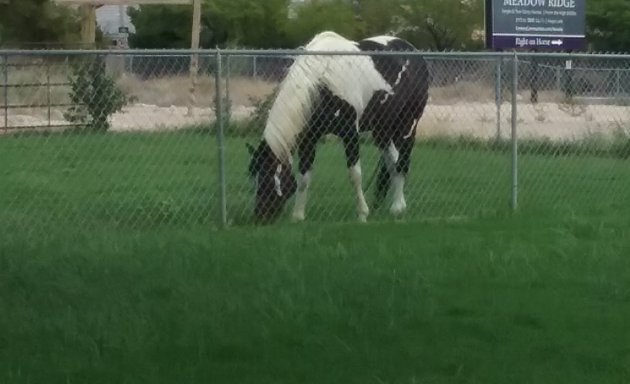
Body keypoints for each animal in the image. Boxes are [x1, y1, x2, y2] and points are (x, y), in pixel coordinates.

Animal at [249, 31, 432, 224]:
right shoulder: (309, 138)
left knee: (402, 162)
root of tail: (413, 52)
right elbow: (304, 177)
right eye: (255, 178)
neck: (323, 80)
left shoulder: (350, 134)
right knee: (392, 161)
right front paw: (298, 216)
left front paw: (362, 214)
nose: (260, 216)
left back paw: (398, 207)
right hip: (382, 130)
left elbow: (355, 175)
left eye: (268, 178)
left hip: (407, 125)